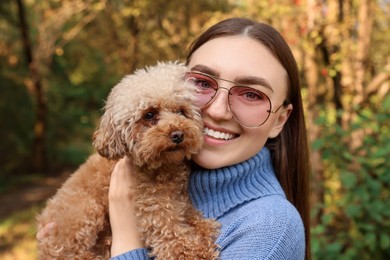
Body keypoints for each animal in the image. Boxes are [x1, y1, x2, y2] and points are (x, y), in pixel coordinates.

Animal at [38, 62, 221, 258]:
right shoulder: (152, 207)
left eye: (181, 111)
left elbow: (189, 215)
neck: (164, 169)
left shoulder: (178, 199)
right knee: (71, 253)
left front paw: (204, 228)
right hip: (84, 212)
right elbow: (172, 234)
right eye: (149, 114)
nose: (178, 134)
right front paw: (197, 252)